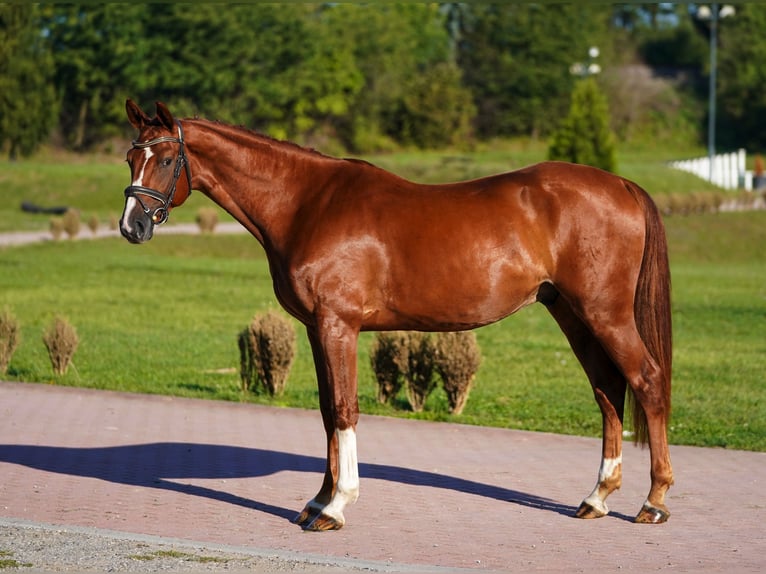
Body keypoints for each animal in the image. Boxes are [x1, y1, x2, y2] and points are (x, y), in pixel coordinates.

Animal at [118, 101, 672, 532]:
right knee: (607, 390)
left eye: (165, 158)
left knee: (646, 381)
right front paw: (317, 501)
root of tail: (622, 185)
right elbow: (327, 412)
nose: (131, 227)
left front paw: (336, 507)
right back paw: (597, 498)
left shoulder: (338, 325)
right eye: (130, 157)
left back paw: (653, 502)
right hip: (572, 314)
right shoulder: (317, 329)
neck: (307, 204)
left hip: (604, 313)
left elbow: (344, 410)